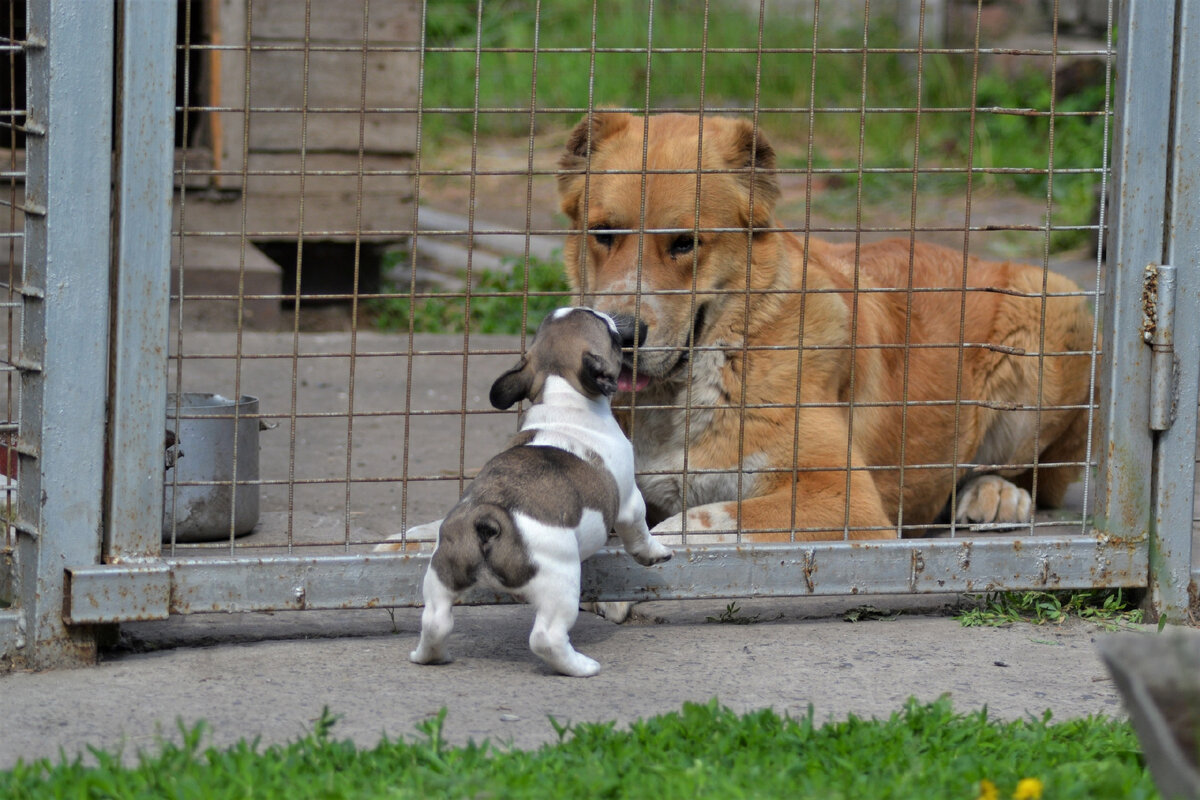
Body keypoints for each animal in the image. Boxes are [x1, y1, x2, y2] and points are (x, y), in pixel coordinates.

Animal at [405, 307, 672, 676]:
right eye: (611, 334)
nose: (613, 317)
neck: (562, 394)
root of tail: (489, 518)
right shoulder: (630, 500)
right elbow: (640, 532)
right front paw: (656, 553)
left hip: (443, 569)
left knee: (435, 620)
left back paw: (428, 656)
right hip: (559, 583)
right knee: (546, 637)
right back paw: (580, 666)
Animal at [556, 110, 1094, 544]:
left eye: (685, 243)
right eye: (604, 234)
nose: (621, 334)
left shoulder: (846, 501)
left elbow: (696, 522)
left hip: (1052, 302)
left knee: (1034, 475)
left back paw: (996, 494)